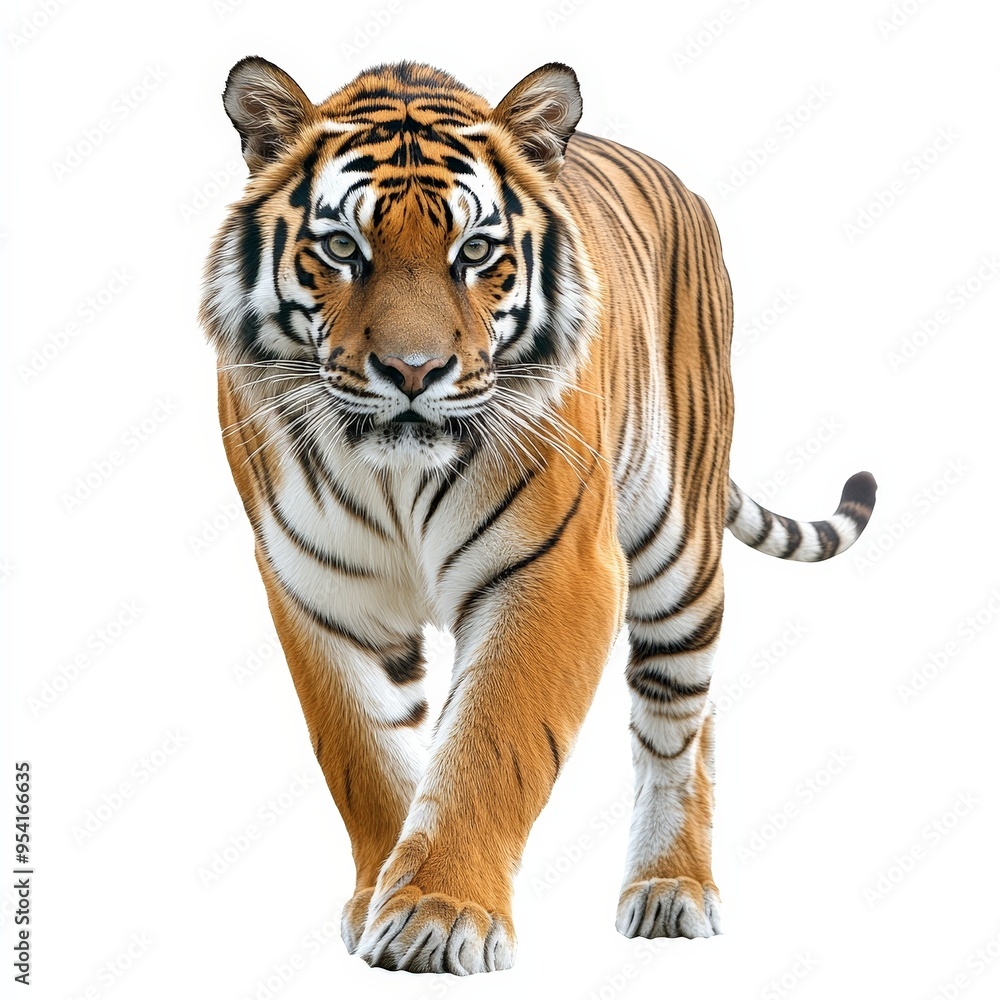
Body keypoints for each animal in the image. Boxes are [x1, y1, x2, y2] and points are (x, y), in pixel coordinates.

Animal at [200, 57, 877, 975]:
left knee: (681, 725)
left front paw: (439, 914)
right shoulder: (317, 587)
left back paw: (671, 887)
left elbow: (492, 740)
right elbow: (366, 755)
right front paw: (380, 895)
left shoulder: (558, 566)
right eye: (343, 248)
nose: (413, 371)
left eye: (475, 252)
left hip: (679, 549)